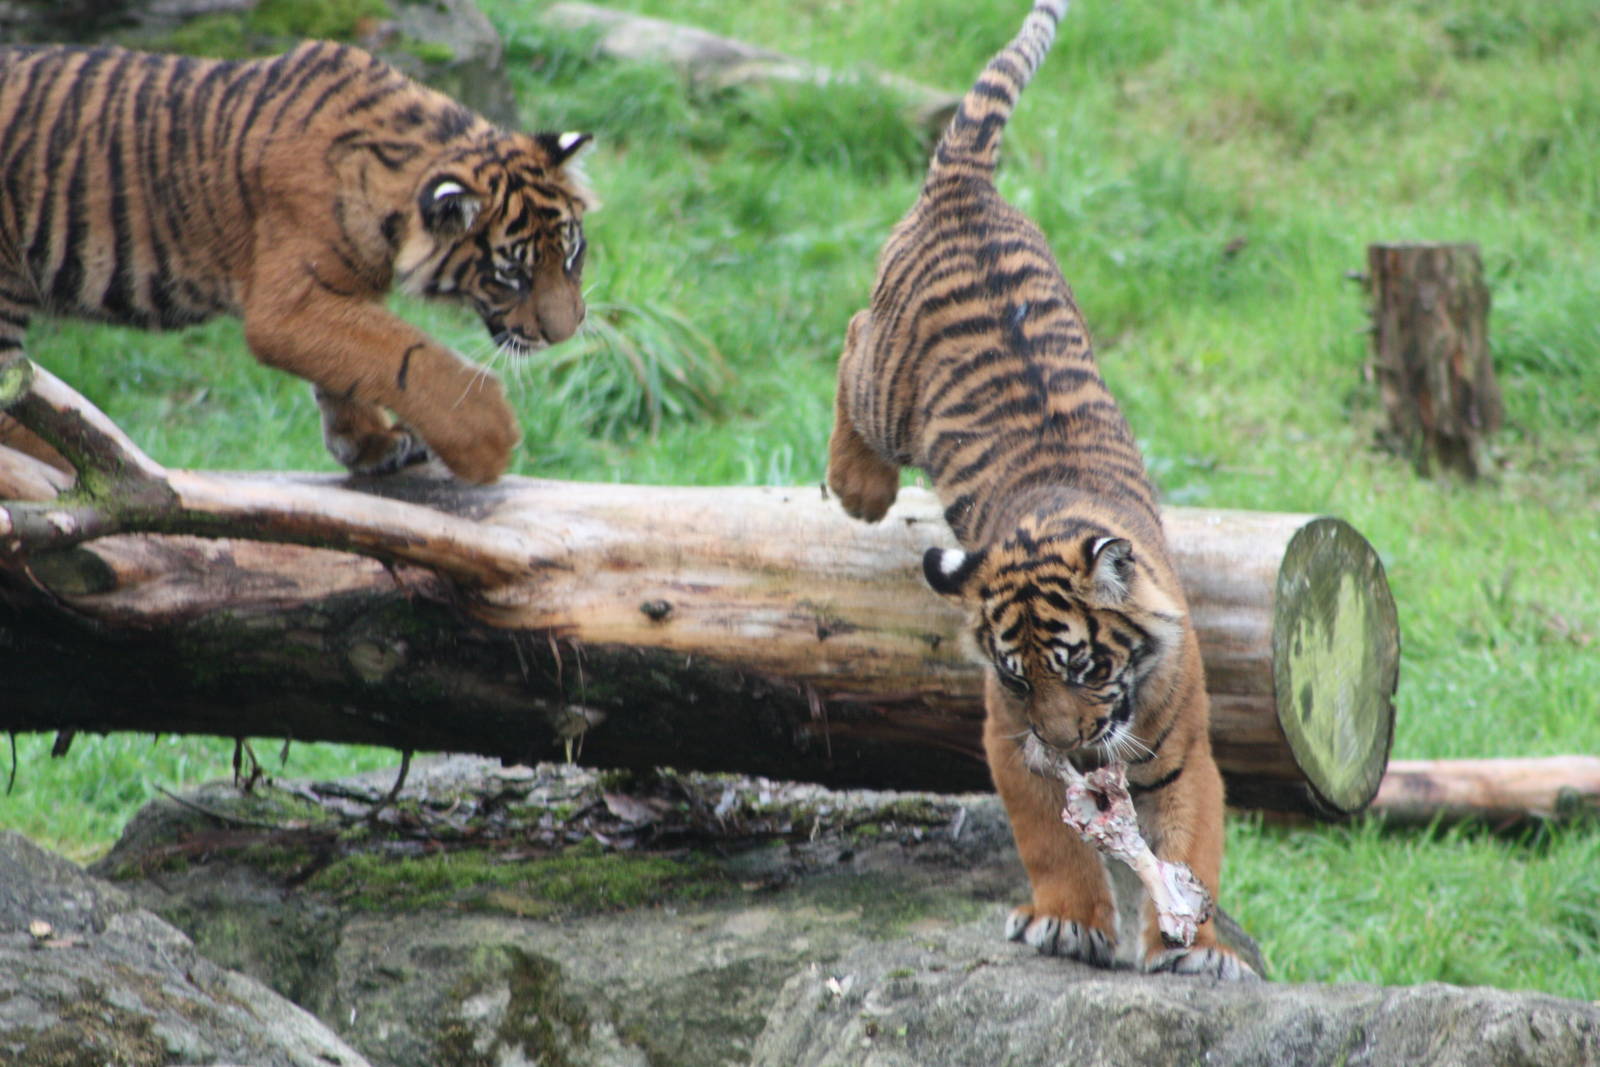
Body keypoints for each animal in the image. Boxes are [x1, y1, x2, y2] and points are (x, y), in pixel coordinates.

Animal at [0, 40, 596, 484]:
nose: (565, 333)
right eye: (512, 275)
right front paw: (490, 440)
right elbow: (407, 356)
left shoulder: (338, 292)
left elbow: (355, 366)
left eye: (571, 254)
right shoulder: (288, 305)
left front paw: (371, 444)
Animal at [826, 0, 1253, 979]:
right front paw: (1068, 922)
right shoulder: (1007, 740)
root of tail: (963, 188)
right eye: (1018, 680)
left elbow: (1191, 843)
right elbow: (1049, 833)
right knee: (849, 338)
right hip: (885, 386)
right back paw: (856, 487)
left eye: (1084, 667)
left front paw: (1199, 946)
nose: (1069, 747)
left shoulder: (1185, 752)